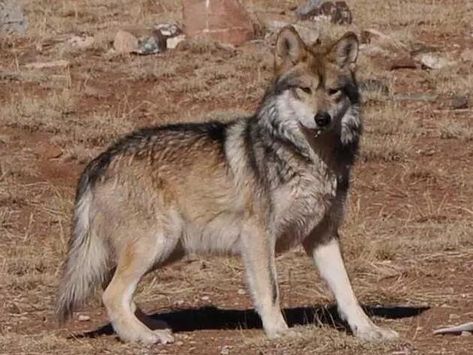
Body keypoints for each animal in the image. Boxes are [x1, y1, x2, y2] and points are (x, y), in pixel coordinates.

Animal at [57, 25, 400, 344]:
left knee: (113, 289)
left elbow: (348, 293)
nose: (322, 119)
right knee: (112, 294)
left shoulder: (323, 237)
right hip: (156, 243)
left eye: (334, 91)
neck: (310, 159)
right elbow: (271, 290)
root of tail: (99, 161)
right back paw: (144, 336)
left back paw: (149, 327)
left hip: (167, 249)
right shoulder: (258, 236)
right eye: (304, 89)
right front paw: (280, 332)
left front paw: (370, 331)